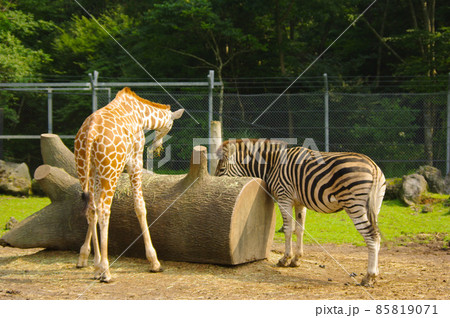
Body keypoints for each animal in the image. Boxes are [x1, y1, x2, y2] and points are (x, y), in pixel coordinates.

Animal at [74, 86, 183, 280]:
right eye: (170, 125)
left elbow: (93, 208)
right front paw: (154, 262)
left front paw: (85, 257)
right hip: (111, 170)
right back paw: (106, 270)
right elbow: (140, 207)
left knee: (91, 208)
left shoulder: (97, 172)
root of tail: (90, 133)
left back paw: (97, 268)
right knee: (103, 209)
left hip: (87, 169)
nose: (157, 146)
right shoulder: (135, 160)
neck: (142, 114)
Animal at [215, 139, 386, 286]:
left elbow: (288, 229)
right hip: (374, 207)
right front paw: (296, 259)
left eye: (221, 169)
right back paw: (375, 274)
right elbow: (299, 229)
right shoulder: (299, 203)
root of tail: (373, 166)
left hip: (354, 205)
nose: (215, 185)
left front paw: (285, 259)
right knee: (377, 236)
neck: (273, 164)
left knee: (371, 237)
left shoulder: (284, 198)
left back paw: (369, 276)